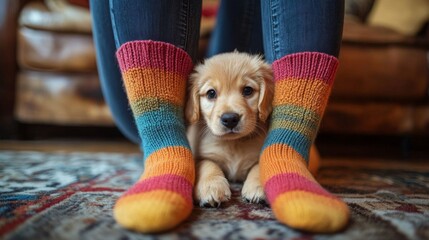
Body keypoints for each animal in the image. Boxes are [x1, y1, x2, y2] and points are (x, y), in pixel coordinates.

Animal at [186, 51, 320, 207]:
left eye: (247, 90)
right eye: (211, 93)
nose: (230, 119)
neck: (234, 143)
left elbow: (259, 166)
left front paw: (258, 187)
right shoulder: (200, 154)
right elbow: (207, 164)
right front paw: (211, 187)